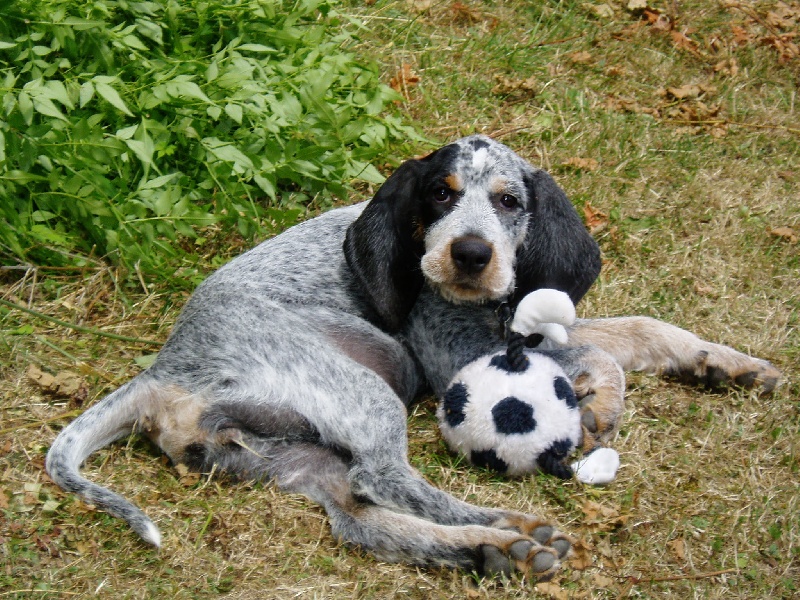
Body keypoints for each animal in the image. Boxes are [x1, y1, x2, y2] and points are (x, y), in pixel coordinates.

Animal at [45, 135, 780, 580]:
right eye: (440, 193)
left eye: (510, 202)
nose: (471, 255)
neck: (487, 306)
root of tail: (161, 373)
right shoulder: (459, 355)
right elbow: (600, 351)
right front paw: (600, 404)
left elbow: (637, 328)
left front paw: (725, 363)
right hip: (366, 387)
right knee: (384, 479)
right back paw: (501, 524)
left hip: (282, 453)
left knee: (360, 519)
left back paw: (491, 550)